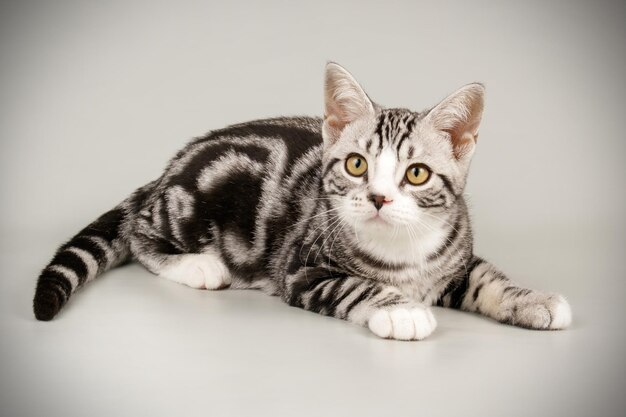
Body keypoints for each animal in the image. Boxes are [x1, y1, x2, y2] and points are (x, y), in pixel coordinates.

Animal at [33, 62, 572, 342]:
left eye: (416, 173)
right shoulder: (302, 267)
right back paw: (197, 265)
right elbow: (359, 286)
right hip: (191, 205)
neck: (403, 253)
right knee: (141, 229)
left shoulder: (458, 256)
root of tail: (168, 170)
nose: (379, 197)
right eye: (356, 165)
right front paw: (402, 310)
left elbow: (488, 278)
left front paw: (534, 300)